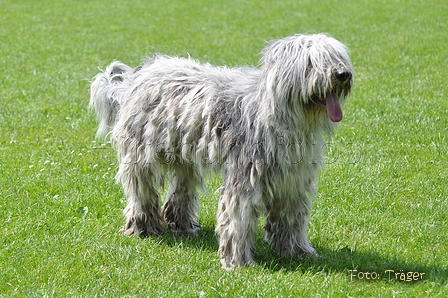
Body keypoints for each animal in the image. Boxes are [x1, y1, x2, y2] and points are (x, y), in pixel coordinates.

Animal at [89, 33, 352, 268]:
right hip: (141, 156)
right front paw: (238, 262)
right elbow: (237, 221)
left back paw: (182, 226)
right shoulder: (244, 181)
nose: (343, 74)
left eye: (338, 57)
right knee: (141, 193)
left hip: (185, 161)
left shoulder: (292, 182)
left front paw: (297, 251)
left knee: (181, 194)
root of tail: (137, 76)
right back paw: (143, 228)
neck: (278, 117)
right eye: (312, 61)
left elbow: (291, 219)